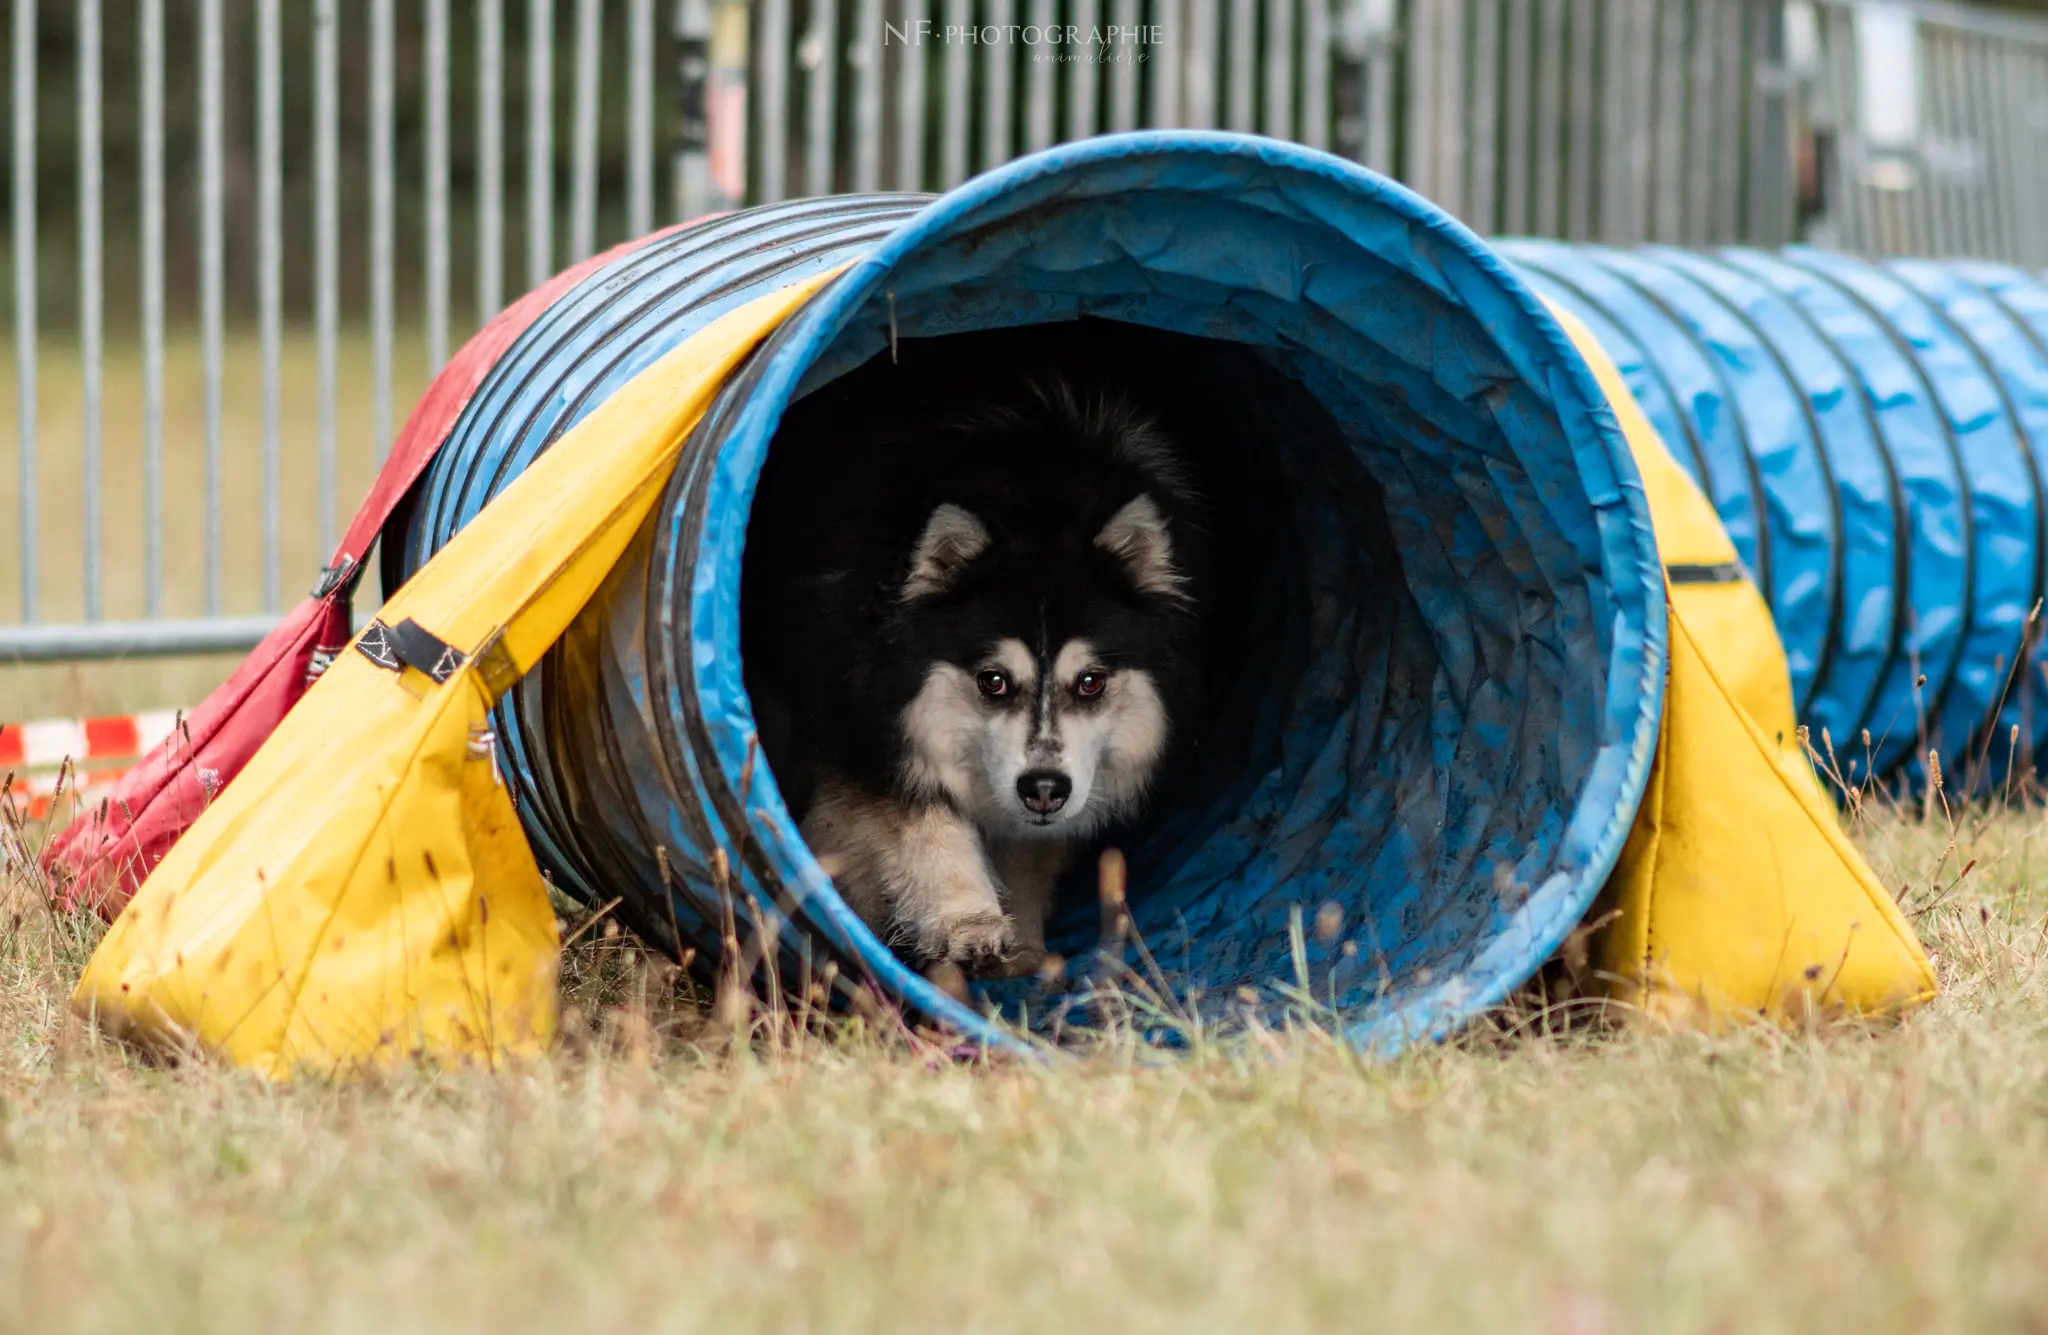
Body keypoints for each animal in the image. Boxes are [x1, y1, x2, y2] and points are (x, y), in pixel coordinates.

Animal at [745, 352, 1204, 978]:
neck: (1039, 497)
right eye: (993, 681)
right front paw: (969, 923)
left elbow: (1029, 854)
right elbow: (925, 824)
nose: (1044, 789)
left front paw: (1025, 947)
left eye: (1091, 682)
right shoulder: (863, 723)